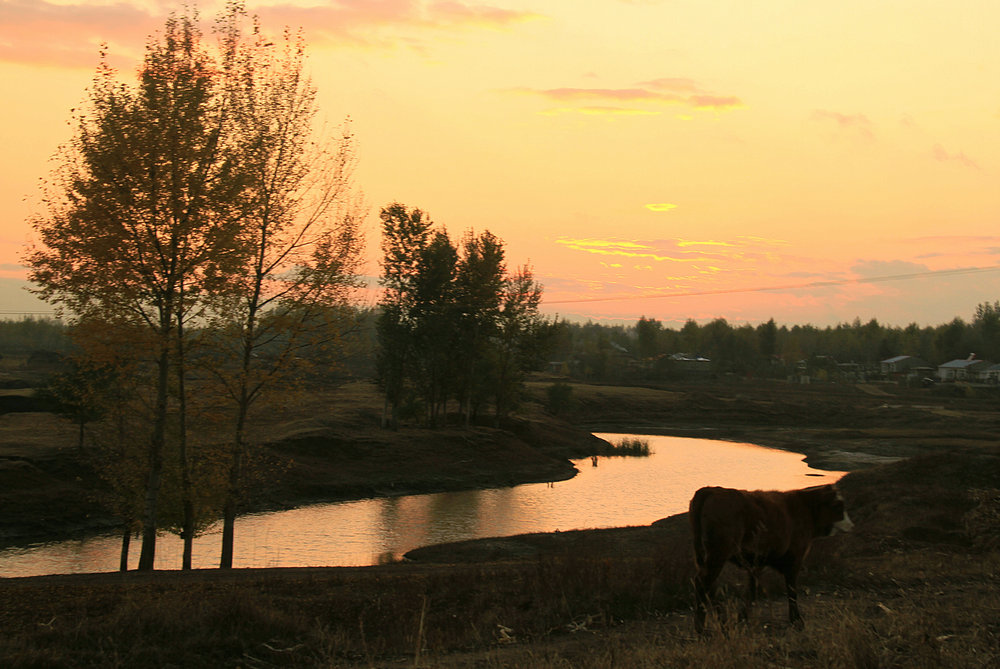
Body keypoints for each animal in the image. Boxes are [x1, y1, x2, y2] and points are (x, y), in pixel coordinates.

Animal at [692, 480, 856, 632]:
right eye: (837, 505)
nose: (852, 526)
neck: (805, 509)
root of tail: (711, 490)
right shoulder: (794, 560)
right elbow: (792, 591)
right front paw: (797, 621)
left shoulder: (756, 565)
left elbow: (751, 592)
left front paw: (742, 619)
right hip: (717, 555)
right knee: (703, 583)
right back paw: (702, 629)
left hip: (707, 557)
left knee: (709, 587)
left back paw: (719, 624)